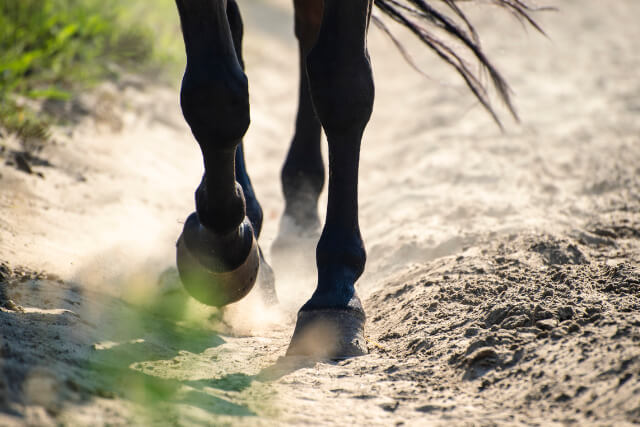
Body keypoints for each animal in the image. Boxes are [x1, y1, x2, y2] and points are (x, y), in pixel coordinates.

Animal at [172, 0, 544, 360]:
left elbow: (341, 79)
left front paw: (335, 292)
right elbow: (214, 90)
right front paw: (221, 245)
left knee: (307, 31)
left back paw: (299, 209)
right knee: (245, 36)